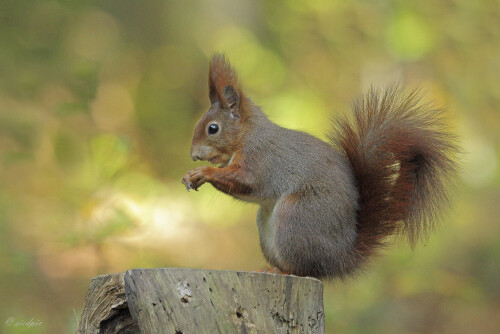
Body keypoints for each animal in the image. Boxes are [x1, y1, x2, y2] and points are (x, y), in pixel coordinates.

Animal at [182, 54, 458, 280]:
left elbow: (247, 182)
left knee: (307, 270)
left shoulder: (262, 160)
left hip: (296, 216)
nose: (194, 156)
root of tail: (340, 258)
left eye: (213, 128)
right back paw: (269, 269)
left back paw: (283, 271)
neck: (247, 135)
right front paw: (190, 175)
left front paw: (203, 173)